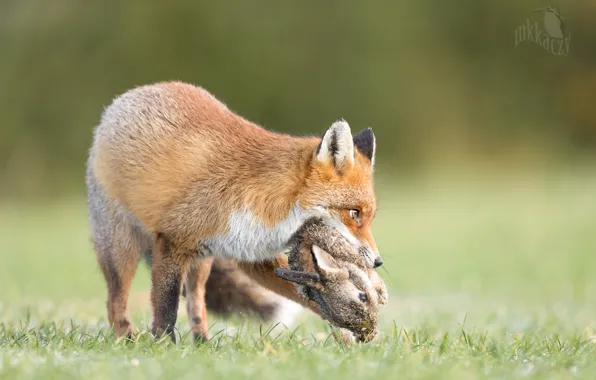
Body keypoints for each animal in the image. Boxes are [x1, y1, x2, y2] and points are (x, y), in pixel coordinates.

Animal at [85, 80, 380, 342]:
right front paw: (164, 346)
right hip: (120, 248)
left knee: (196, 303)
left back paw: (203, 343)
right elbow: (166, 308)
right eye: (354, 213)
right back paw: (126, 340)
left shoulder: (253, 254)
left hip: (201, 261)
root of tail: (127, 97)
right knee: (114, 303)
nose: (377, 262)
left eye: (369, 217)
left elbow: (310, 298)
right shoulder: (172, 241)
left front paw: (348, 333)